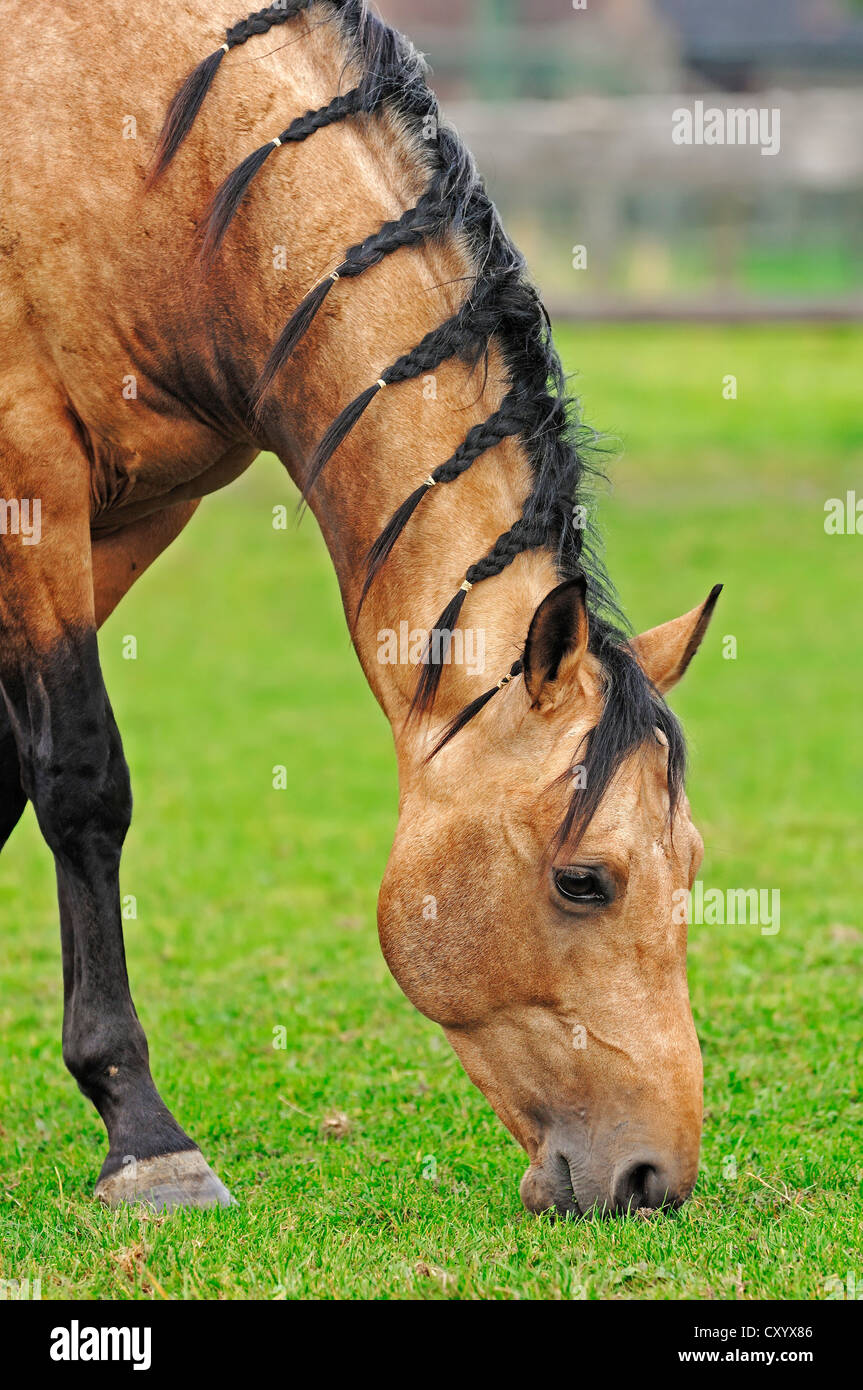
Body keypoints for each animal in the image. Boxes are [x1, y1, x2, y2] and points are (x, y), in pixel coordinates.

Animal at [0, 0, 721, 1218]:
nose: (649, 1177)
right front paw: (146, 1137)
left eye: (695, 865)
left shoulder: (136, 512)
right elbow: (81, 784)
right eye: (583, 879)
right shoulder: (30, 483)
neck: (169, 166)